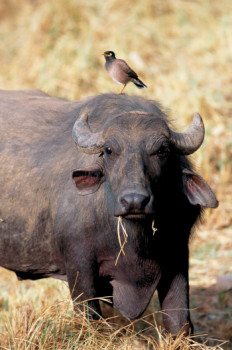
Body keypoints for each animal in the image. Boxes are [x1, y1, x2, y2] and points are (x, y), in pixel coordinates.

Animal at [0, 89, 218, 334]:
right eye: (109, 150)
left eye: (162, 150)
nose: (134, 201)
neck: (135, 240)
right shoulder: (80, 264)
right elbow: (89, 316)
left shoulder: (177, 257)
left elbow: (179, 322)